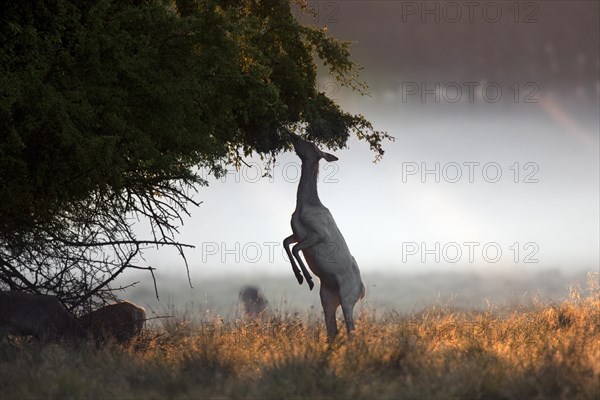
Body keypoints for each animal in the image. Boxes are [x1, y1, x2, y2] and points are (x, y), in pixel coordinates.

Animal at [282, 134, 366, 338]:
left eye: (311, 144)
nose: (293, 135)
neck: (305, 206)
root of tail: (363, 290)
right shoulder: (297, 233)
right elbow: (286, 243)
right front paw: (300, 277)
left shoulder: (318, 234)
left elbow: (295, 248)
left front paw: (307, 279)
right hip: (328, 298)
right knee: (332, 330)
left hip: (347, 297)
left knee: (351, 328)